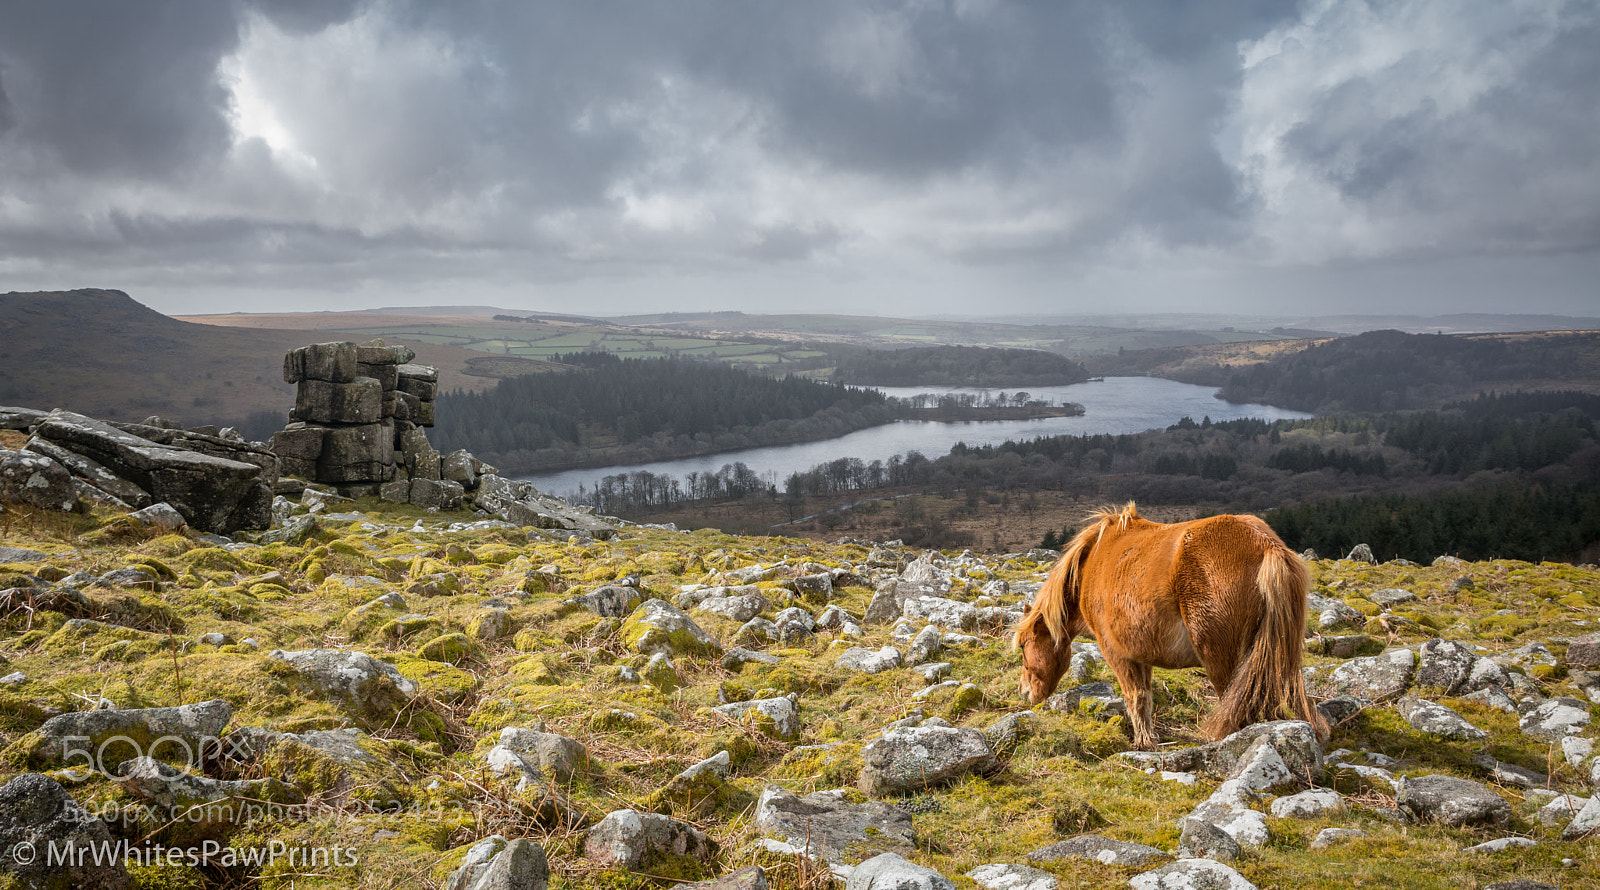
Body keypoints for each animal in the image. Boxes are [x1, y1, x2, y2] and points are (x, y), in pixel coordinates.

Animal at [1013, 502, 1327, 749]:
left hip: (1222, 662)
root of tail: (1265, 545)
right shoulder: (1141, 655)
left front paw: (1142, 744)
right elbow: (1146, 697)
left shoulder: (1117, 653)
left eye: (1024, 645)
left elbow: (1135, 698)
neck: (1091, 562)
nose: (1025, 693)